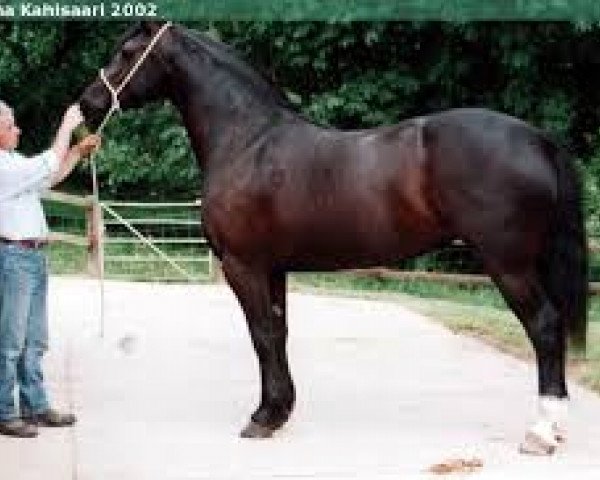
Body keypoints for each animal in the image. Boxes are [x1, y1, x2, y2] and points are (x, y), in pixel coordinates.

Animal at [79, 19, 584, 454]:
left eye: (126, 53)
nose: (88, 103)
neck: (248, 140)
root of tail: (538, 138)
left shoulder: (243, 266)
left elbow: (261, 335)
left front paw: (262, 418)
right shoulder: (273, 268)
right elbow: (278, 333)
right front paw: (280, 410)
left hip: (508, 264)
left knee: (544, 326)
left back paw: (541, 432)